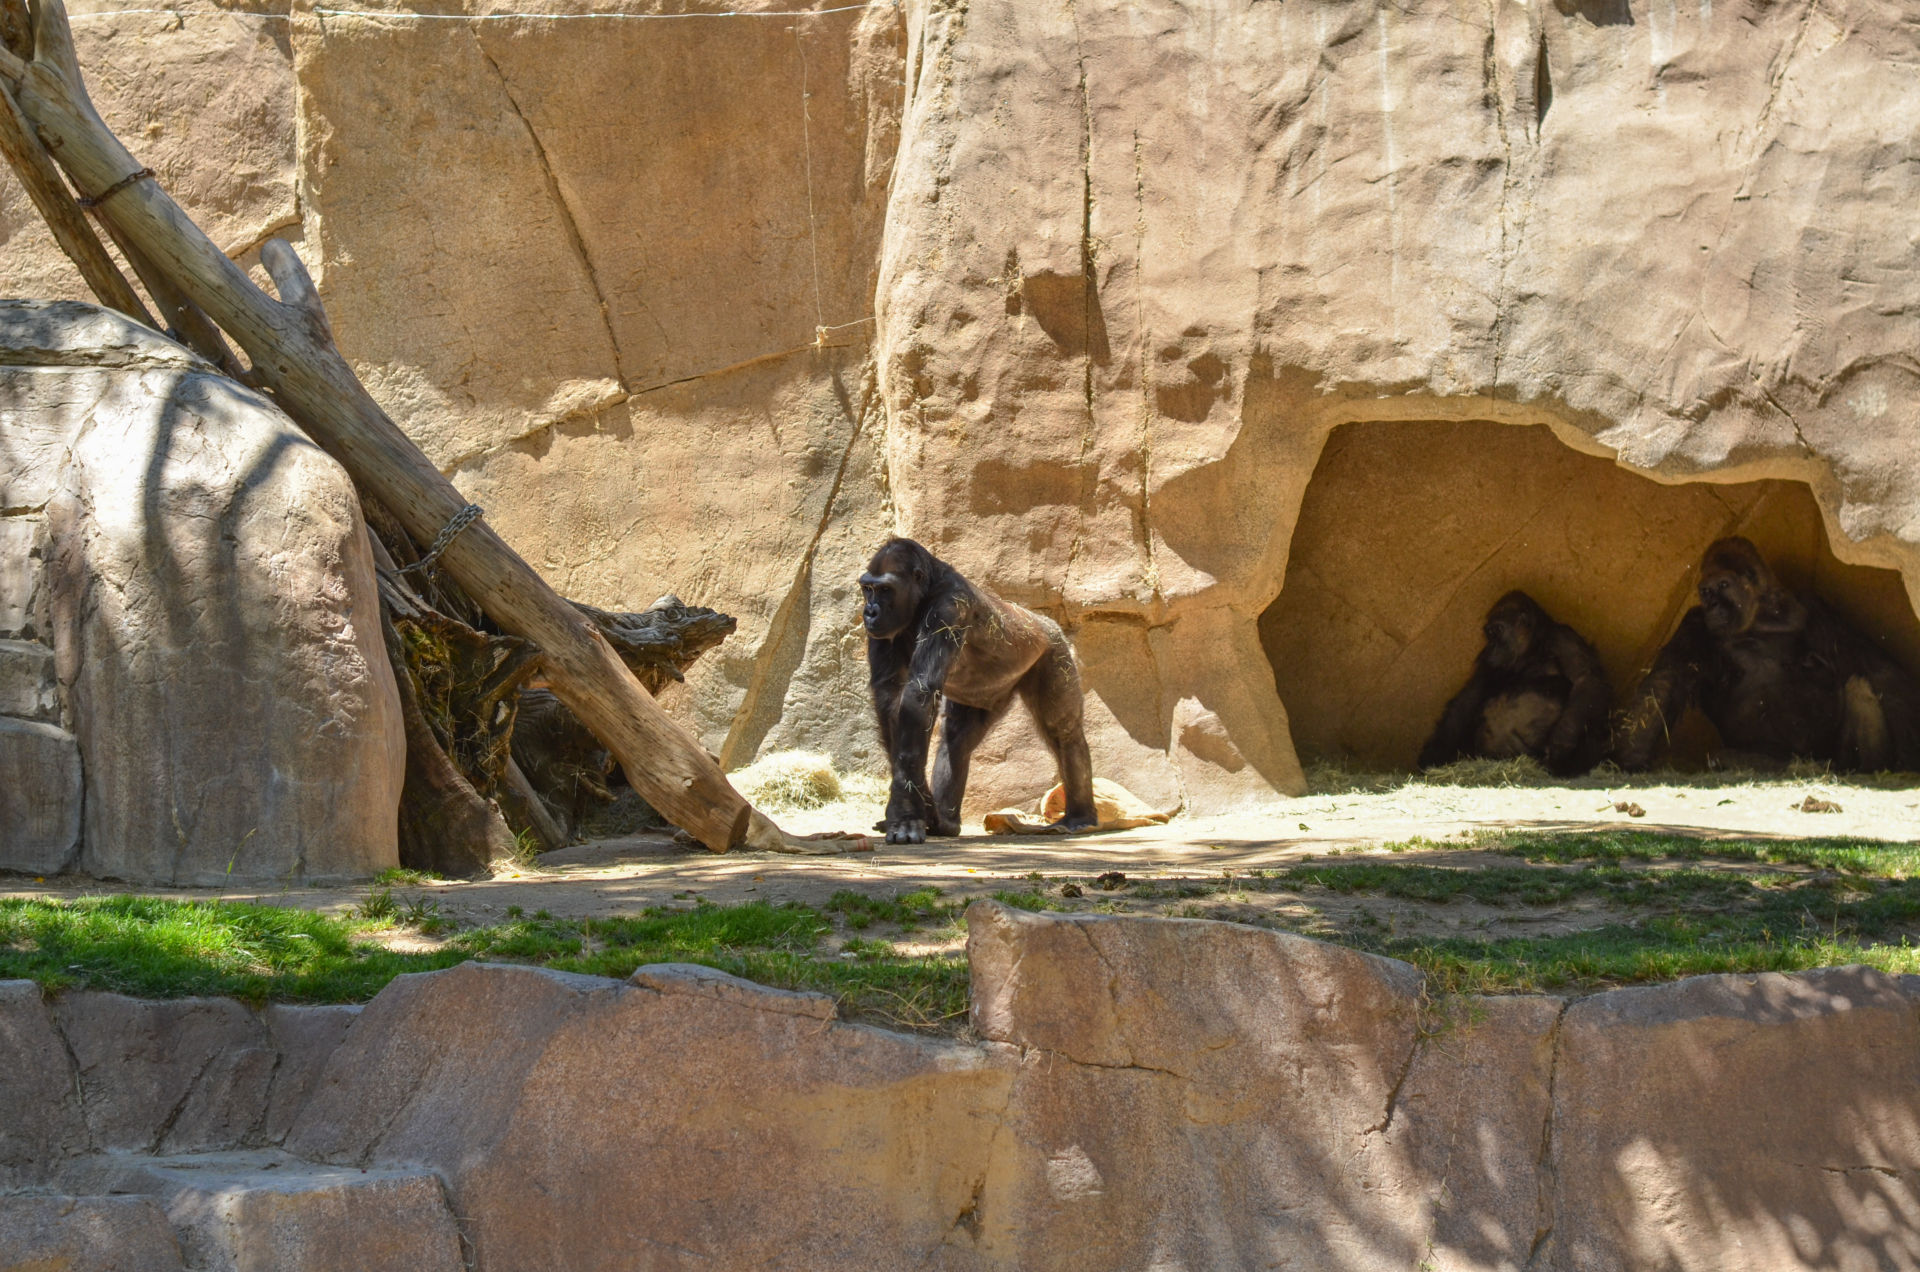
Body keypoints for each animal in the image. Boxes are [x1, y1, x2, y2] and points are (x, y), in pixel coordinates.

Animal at [860, 538, 1098, 845]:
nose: (870, 611)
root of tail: (1046, 622)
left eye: (886, 589)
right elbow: (890, 698)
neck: (924, 590)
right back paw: (946, 822)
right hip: (988, 694)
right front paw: (919, 803)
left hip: (1054, 650)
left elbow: (919, 693)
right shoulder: (882, 630)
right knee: (957, 739)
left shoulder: (949, 607)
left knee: (1064, 731)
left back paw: (1080, 816)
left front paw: (905, 810)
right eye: (868, 589)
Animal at [1420, 591, 1612, 776]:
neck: (1532, 648)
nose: (1492, 645)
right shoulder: (1486, 660)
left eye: (1498, 630)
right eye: (1489, 633)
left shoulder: (1563, 637)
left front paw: (1562, 742)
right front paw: (1434, 752)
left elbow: (1585, 678)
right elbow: (1466, 702)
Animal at [1620, 534, 1920, 772]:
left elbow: (1874, 666)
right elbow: (1665, 683)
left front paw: (1909, 751)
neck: (1760, 616)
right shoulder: (1695, 620)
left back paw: (1868, 768)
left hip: (1824, 755)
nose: (1713, 605)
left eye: (1724, 585)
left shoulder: (1813, 606)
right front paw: (1631, 758)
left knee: (1859, 684)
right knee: (1727, 758)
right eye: (1705, 591)